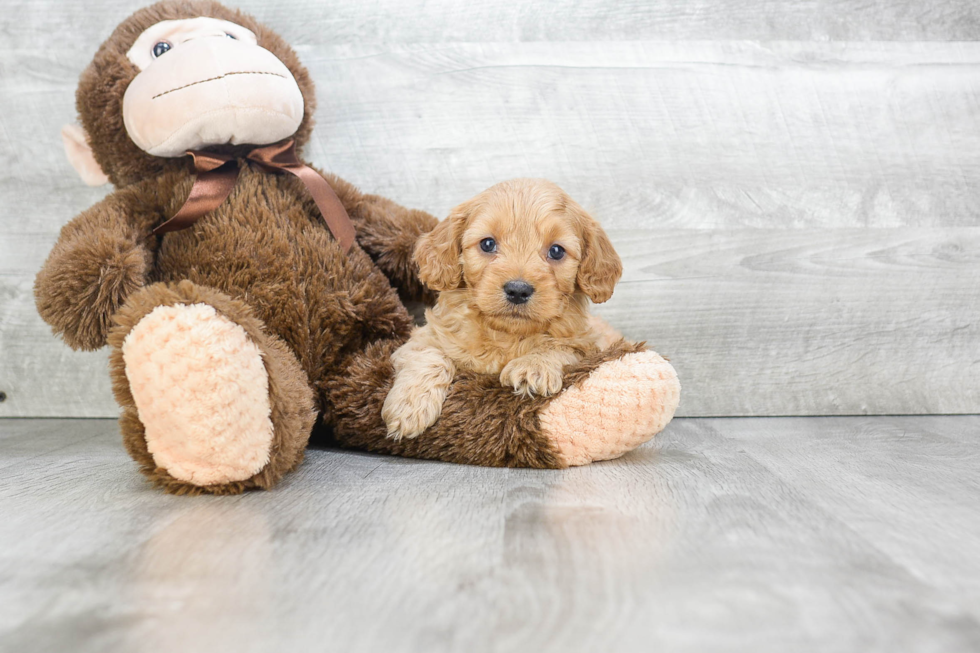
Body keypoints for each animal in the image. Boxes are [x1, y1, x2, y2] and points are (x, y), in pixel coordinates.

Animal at [380, 180, 620, 438]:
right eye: (488, 244)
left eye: (556, 251)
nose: (518, 290)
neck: (506, 334)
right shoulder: (423, 337)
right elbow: (430, 355)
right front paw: (410, 406)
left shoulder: (589, 344)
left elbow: (562, 347)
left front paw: (532, 366)